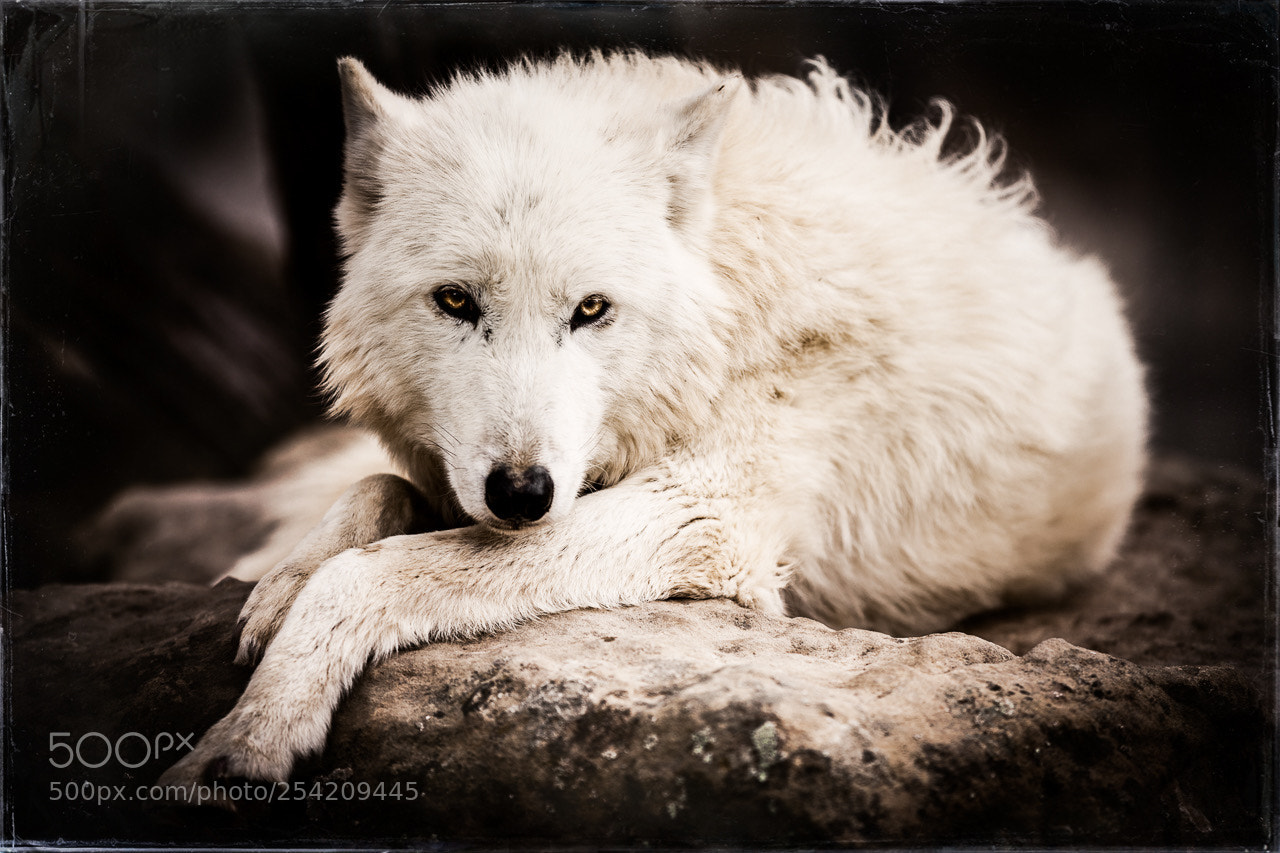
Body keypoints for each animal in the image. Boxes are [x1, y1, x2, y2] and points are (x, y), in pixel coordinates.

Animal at [160, 51, 1146, 789]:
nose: (522, 493)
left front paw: (248, 736)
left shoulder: (703, 517)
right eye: (455, 300)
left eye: (592, 310)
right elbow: (376, 488)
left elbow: (370, 573)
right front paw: (278, 585)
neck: (728, 292)